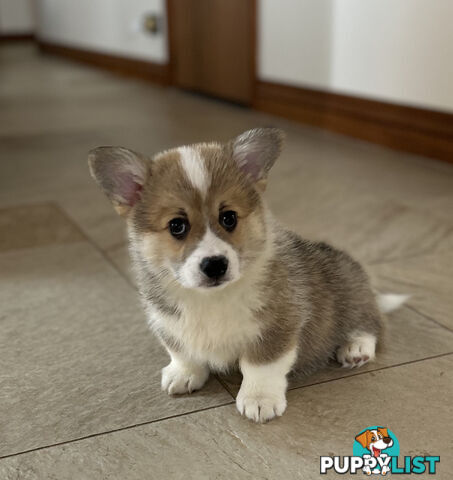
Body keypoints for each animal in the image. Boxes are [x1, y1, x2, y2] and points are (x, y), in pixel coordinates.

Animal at [88, 128, 406, 424]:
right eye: (177, 225)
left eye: (228, 217)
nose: (215, 265)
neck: (211, 299)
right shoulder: (168, 322)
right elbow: (182, 351)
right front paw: (183, 374)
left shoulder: (277, 325)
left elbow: (260, 365)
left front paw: (259, 399)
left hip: (350, 289)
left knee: (373, 324)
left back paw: (356, 347)